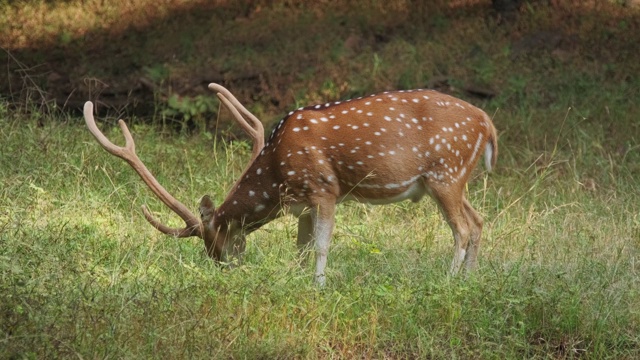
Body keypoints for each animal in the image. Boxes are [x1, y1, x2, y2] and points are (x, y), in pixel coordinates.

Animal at [84, 83, 496, 286]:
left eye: (213, 244)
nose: (225, 270)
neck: (277, 175)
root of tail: (487, 123)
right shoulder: (303, 205)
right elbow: (301, 247)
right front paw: (293, 281)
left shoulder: (325, 189)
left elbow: (322, 246)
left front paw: (319, 286)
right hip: (455, 180)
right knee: (478, 221)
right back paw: (471, 280)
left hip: (445, 174)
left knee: (461, 229)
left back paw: (447, 281)